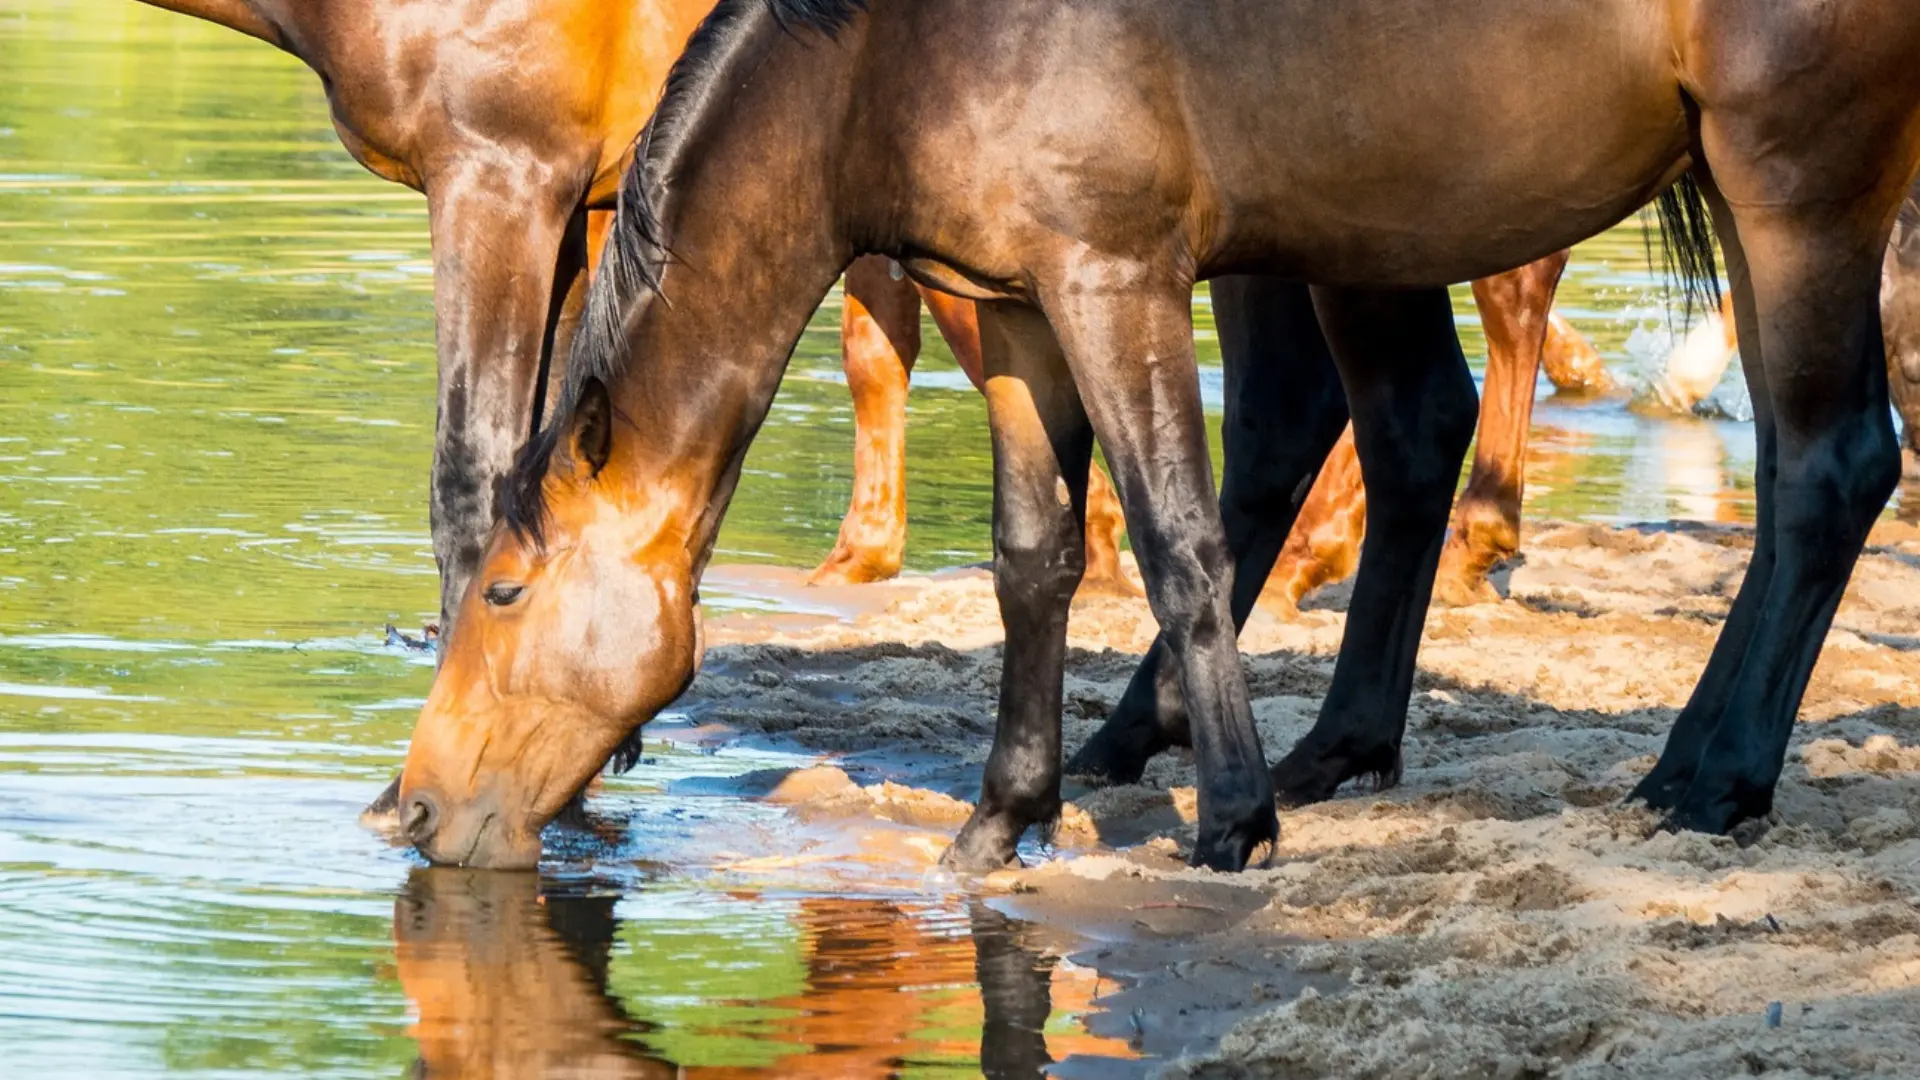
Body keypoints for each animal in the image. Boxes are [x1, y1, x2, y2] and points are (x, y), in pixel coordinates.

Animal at [396, 0, 1920, 872]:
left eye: (506, 592)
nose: (406, 813)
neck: (889, 51)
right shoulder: (1012, 311)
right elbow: (1032, 562)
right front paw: (1006, 814)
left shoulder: (1114, 277)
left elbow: (1180, 537)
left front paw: (1232, 820)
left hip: (1796, 185)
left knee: (1831, 466)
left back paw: (1711, 782)